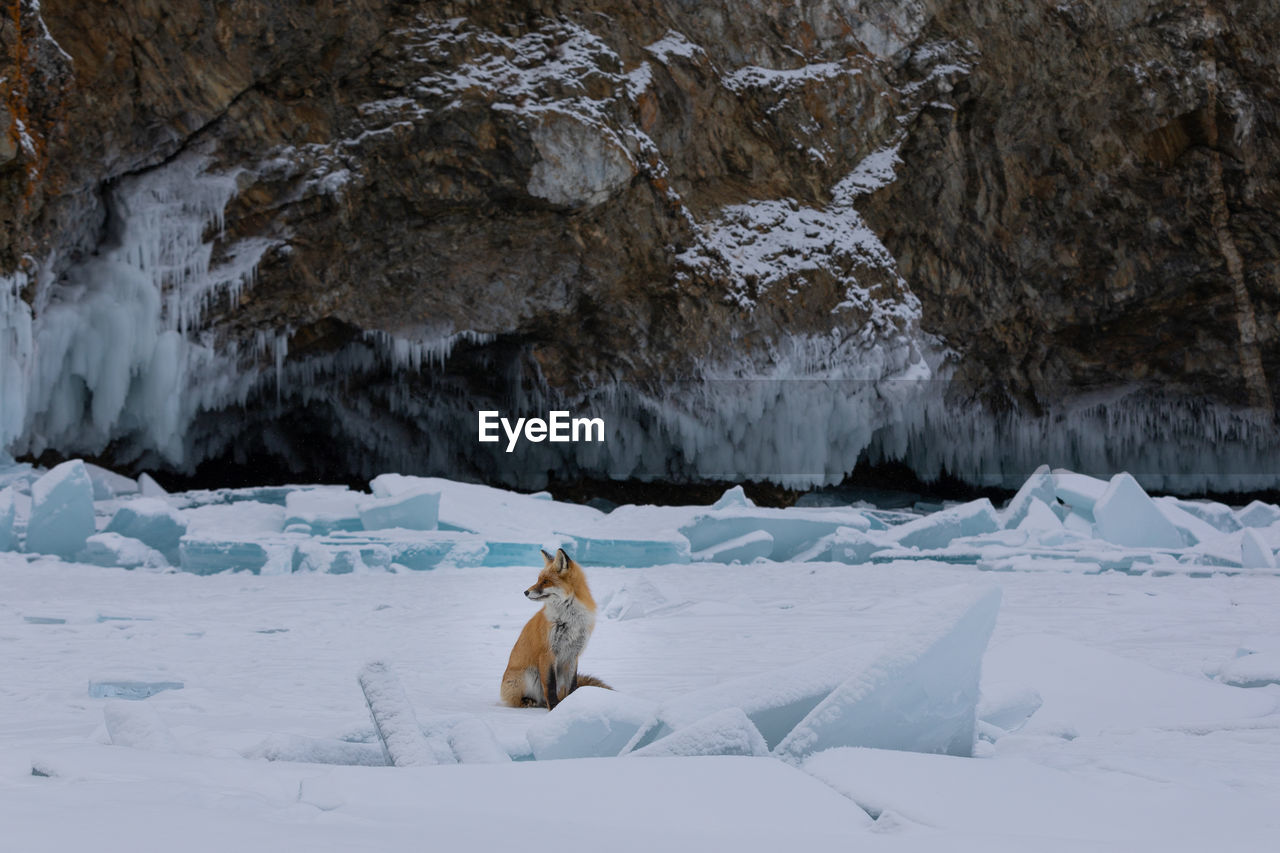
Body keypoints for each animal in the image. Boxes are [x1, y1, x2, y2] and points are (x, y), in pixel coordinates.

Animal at [499, 548, 609, 706]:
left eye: (545, 581)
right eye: (538, 580)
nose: (525, 592)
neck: (569, 619)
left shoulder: (573, 655)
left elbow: (573, 685)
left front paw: (568, 705)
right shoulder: (548, 652)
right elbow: (550, 686)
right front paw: (555, 708)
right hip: (529, 675)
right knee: (518, 700)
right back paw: (528, 701)